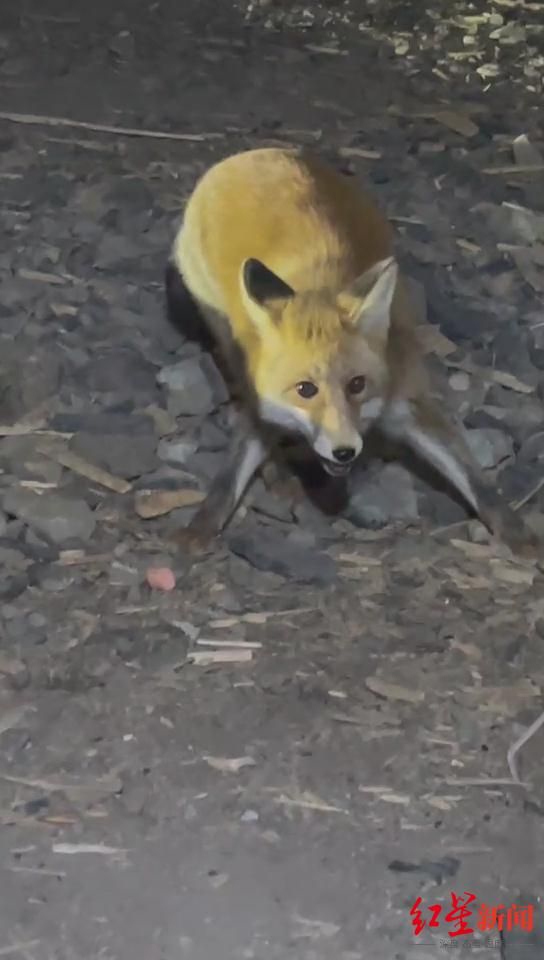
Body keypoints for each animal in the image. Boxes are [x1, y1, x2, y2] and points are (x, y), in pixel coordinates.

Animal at [165, 146, 537, 557]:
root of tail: (250, 154)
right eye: (305, 390)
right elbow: (234, 469)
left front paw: (517, 533)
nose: (344, 452)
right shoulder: (259, 396)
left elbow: (474, 479)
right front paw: (204, 523)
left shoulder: (408, 398)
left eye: (357, 384)